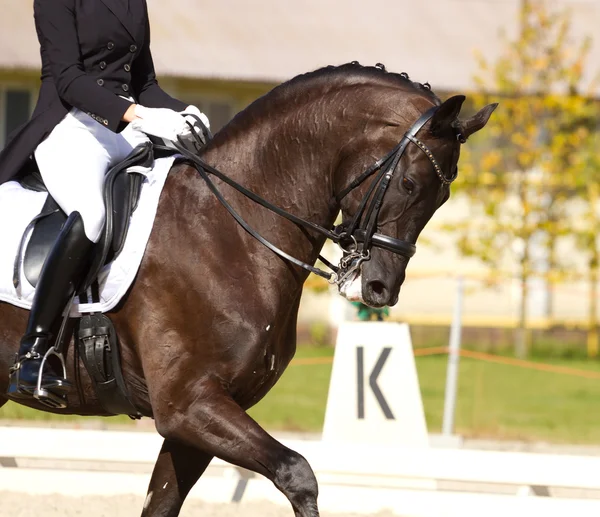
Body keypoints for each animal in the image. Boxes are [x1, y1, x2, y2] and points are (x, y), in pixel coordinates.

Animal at [1, 64, 496, 516]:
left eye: (443, 199)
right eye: (409, 183)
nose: (379, 289)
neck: (227, 228)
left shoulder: (197, 420)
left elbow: (162, 503)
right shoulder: (187, 404)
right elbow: (298, 472)